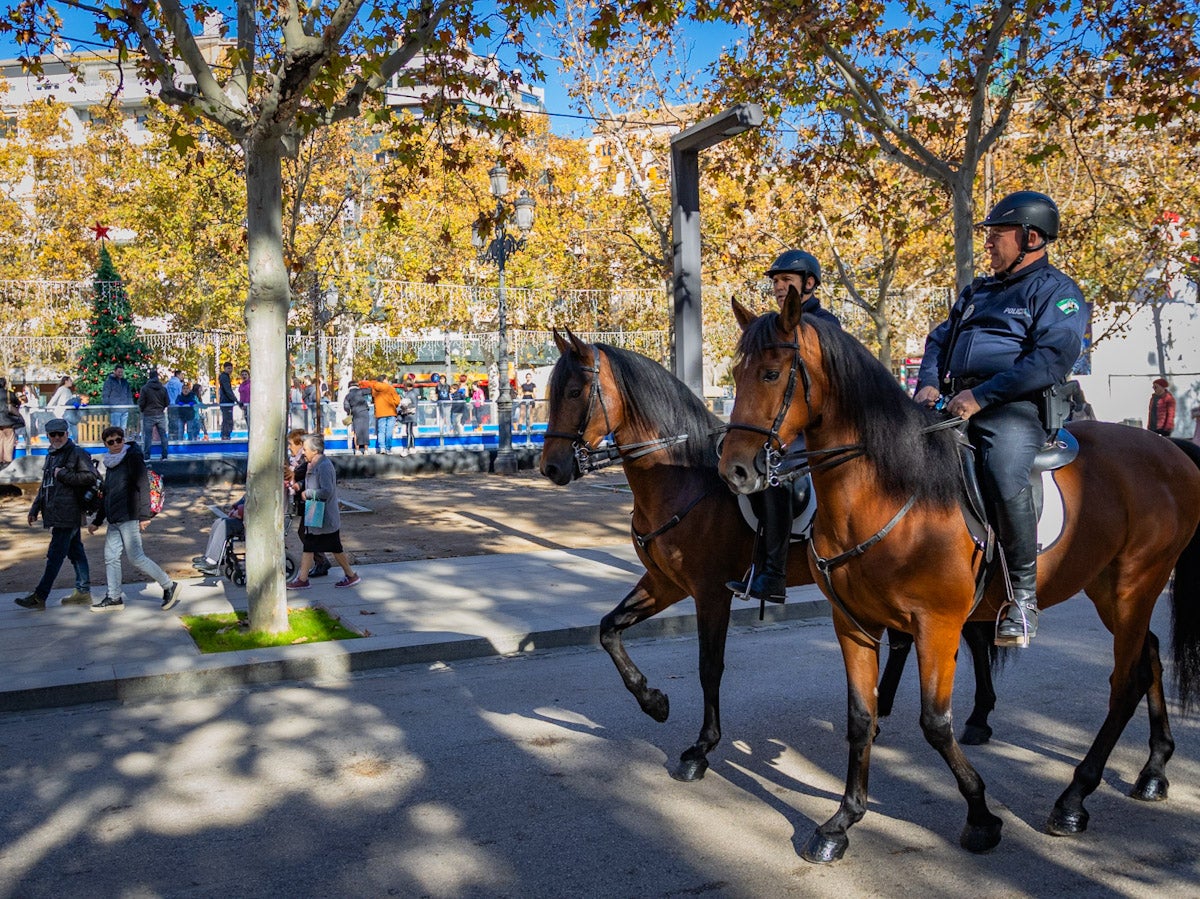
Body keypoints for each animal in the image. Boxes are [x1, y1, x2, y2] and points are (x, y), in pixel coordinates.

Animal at [715, 292, 1195, 864]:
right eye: (736, 373)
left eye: (770, 373)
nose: (734, 470)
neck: (890, 490)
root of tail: (1172, 451)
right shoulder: (852, 624)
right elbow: (860, 719)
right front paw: (841, 822)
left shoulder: (937, 624)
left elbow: (935, 723)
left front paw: (981, 816)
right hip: (1108, 588)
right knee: (1147, 657)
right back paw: (1154, 769)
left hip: (1136, 582)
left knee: (1124, 682)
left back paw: (1074, 799)